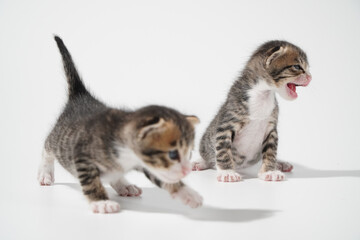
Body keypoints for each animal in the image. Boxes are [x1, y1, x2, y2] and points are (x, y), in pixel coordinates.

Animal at [39, 36, 204, 214]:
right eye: (173, 154)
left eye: (189, 153)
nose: (187, 170)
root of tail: (81, 96)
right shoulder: (83, 157)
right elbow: (91, 182)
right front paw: (101, 202)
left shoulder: (148, 163)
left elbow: (163, 177)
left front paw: (187, 193)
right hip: (59, 139)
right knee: (47, 147)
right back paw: (45, 173)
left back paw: (124, 185)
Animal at [193, 40, 310, 182]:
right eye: (297, 67)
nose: (310, 77)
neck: (262, 94)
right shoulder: (227, 124)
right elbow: (223, 150)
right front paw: (227, 172)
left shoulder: (271, 129)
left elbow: (271, 152)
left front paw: (269, 171)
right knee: (208, 156)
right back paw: (200, 162)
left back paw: (280, 163)